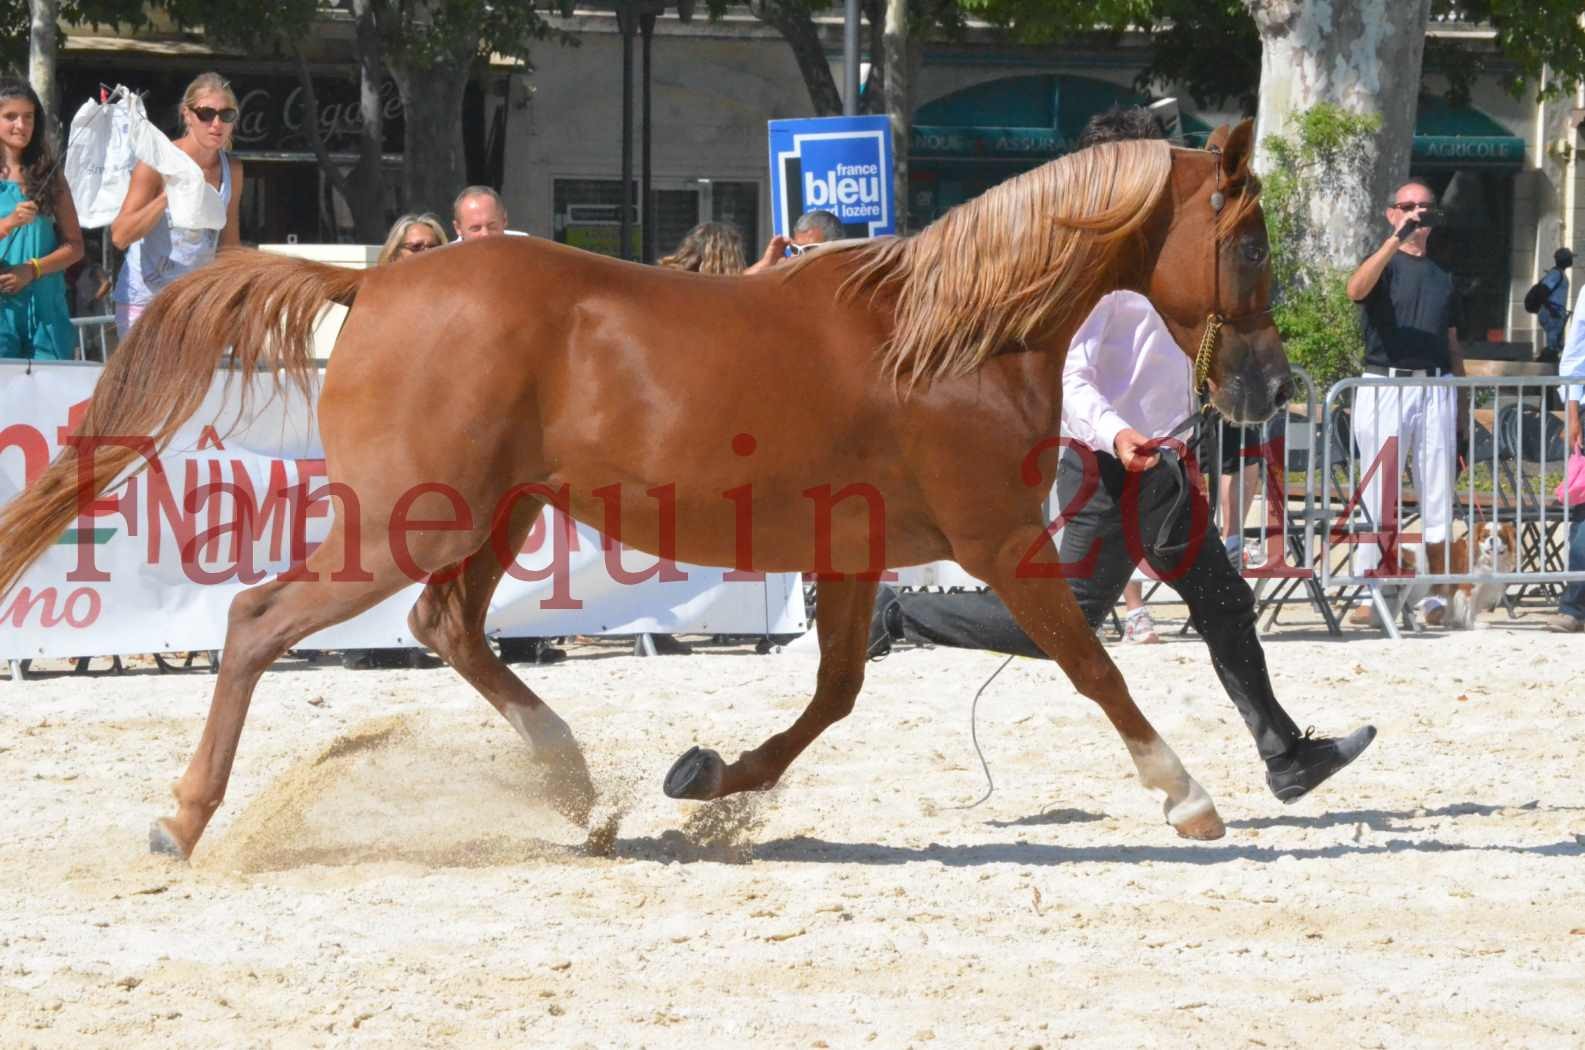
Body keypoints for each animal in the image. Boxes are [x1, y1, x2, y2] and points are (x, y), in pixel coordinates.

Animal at [0, 118, 1287, 862]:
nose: (1272, 385)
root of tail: (376, 285)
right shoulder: (999, 536)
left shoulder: (855, 550)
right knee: (261, 620)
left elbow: (834, 695)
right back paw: (183, 818)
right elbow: (1089, 663)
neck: (952, 335)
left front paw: (707, 779)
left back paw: (577, 790)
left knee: (447, 629)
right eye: (1253, 240)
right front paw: (1186, 795)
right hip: (410, 519)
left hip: (495, 513)